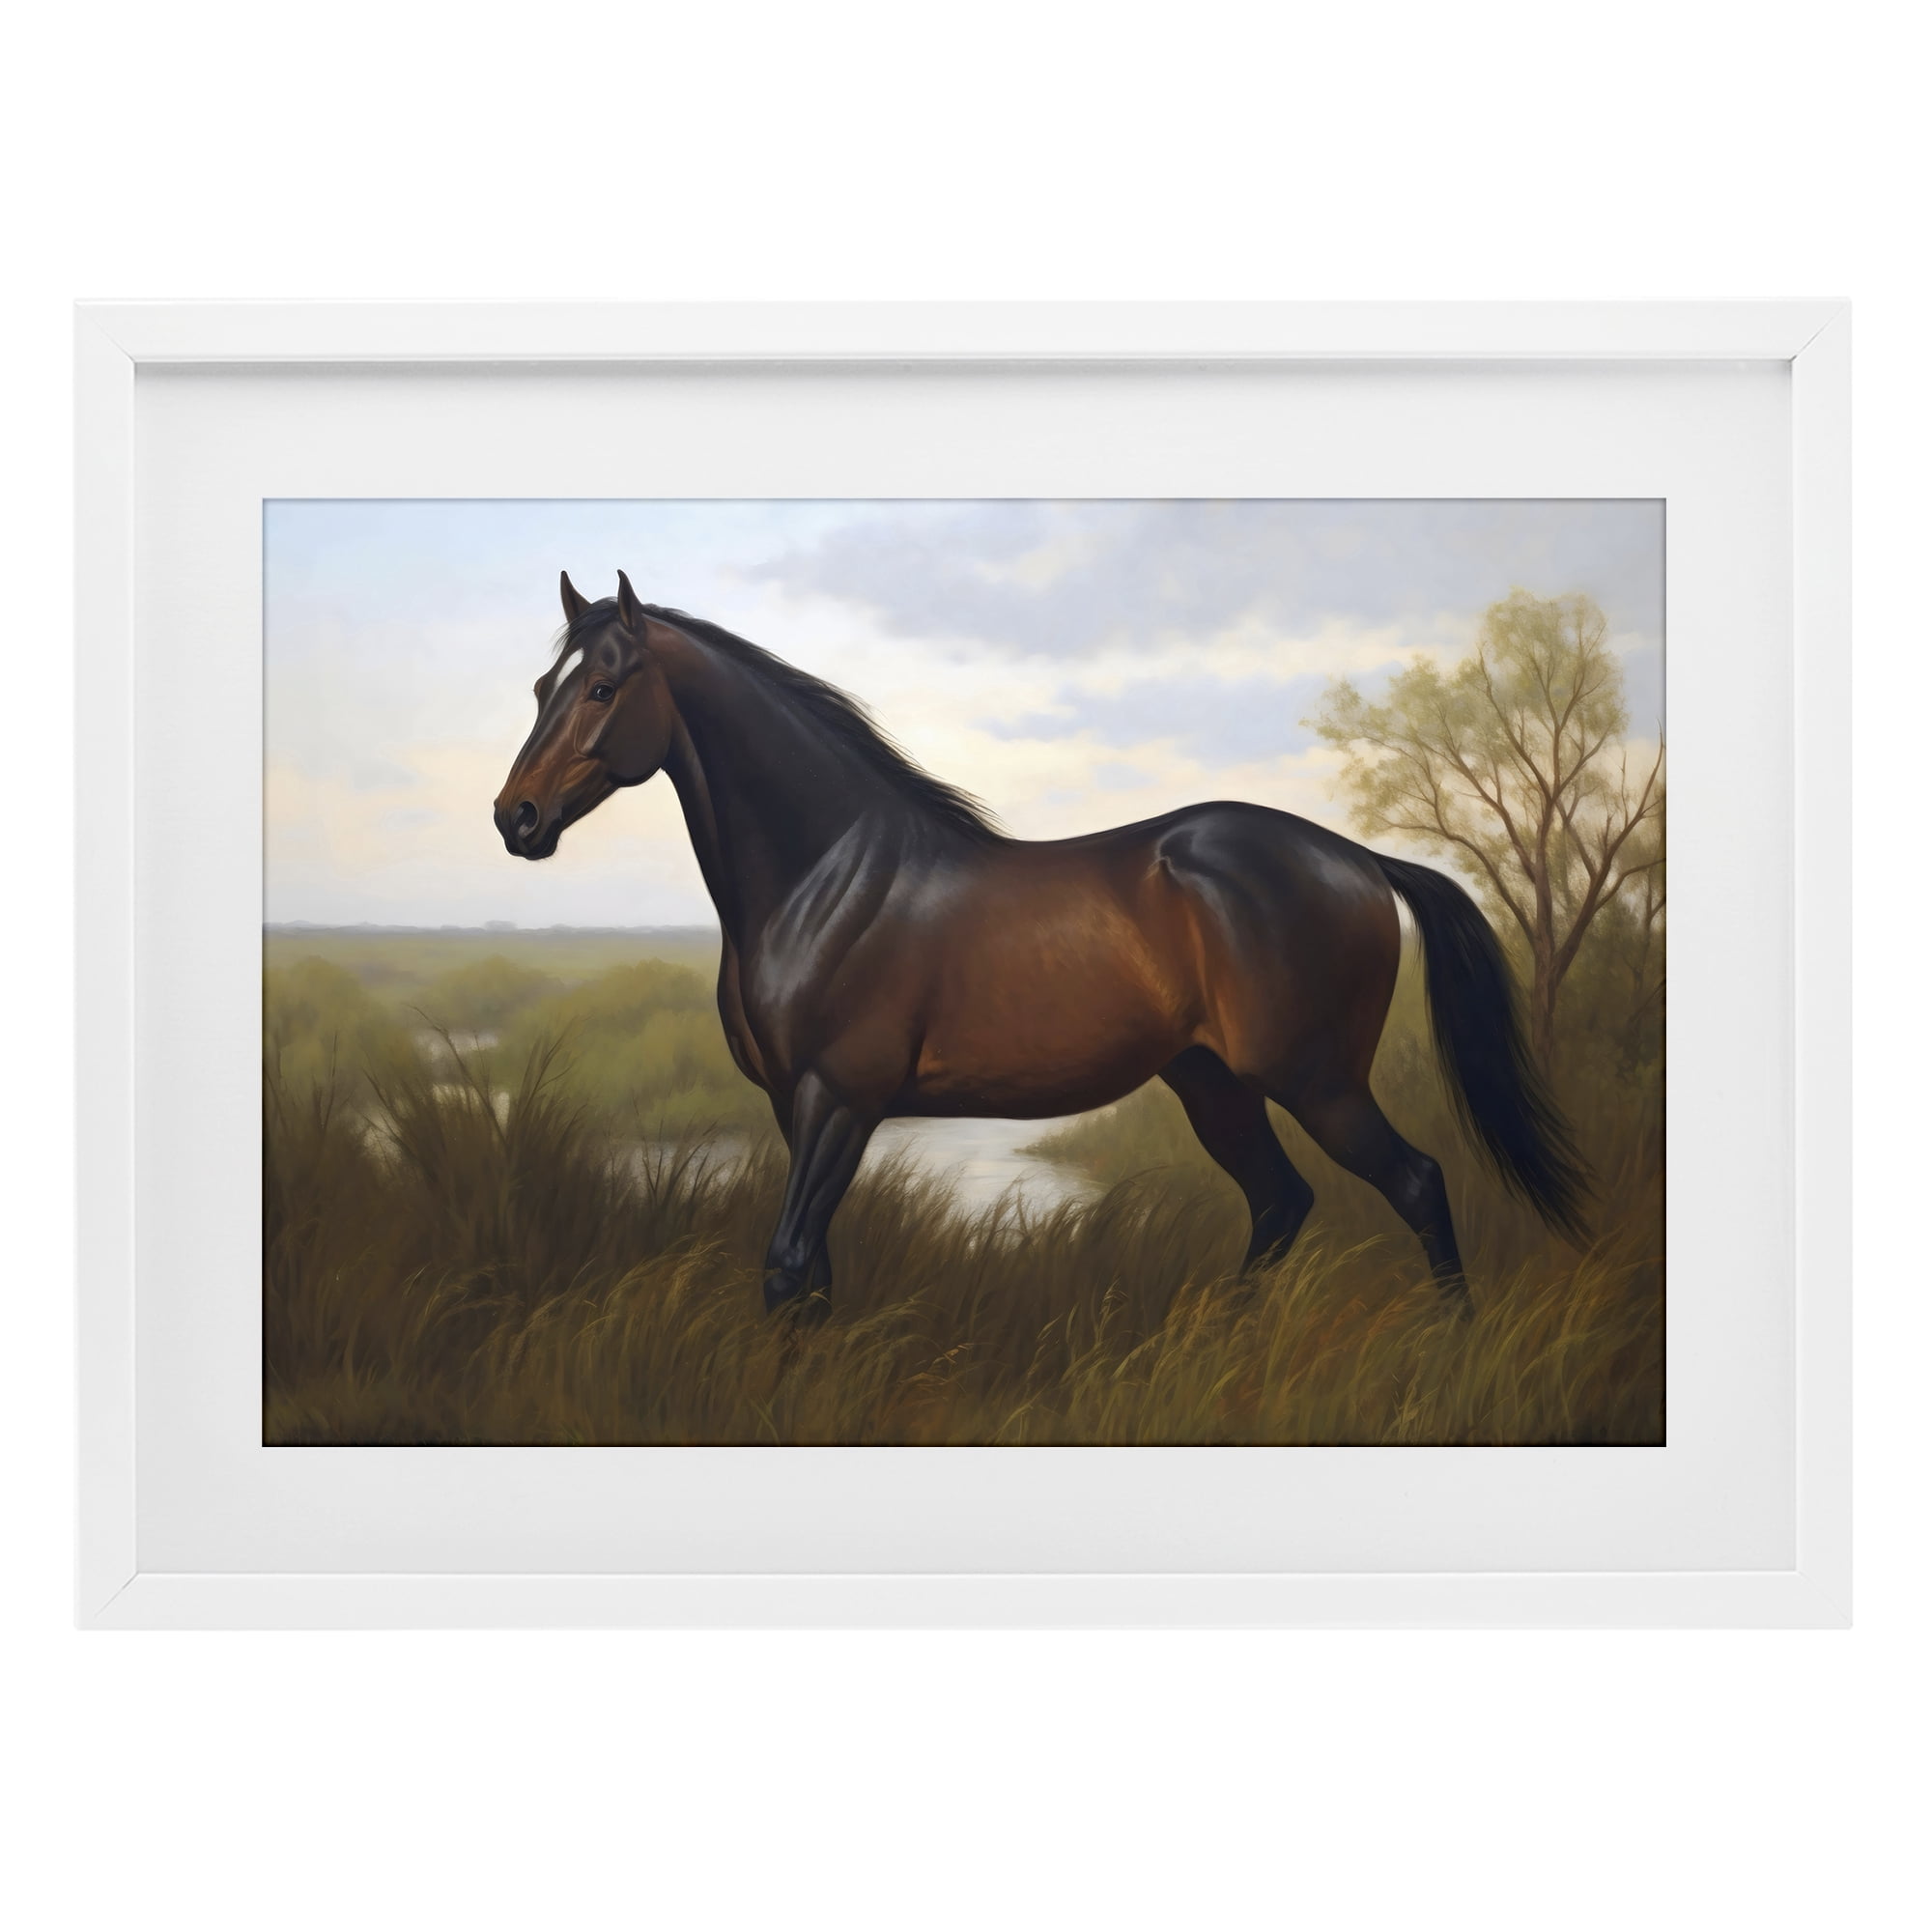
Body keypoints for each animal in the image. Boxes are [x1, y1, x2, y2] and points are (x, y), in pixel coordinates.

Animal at [494, 571, 1588, 1319]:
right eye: (543, 684)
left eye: (604, 688)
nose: (516, 818)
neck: (825, 879)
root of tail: (1356, 858)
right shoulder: (790, 1106)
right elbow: (815, 1274)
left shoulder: (839, 1100)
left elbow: (787, 1263)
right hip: (1212, 1083)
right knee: (1281, 1203)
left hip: (1314, 1078)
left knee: (1414, 1184)